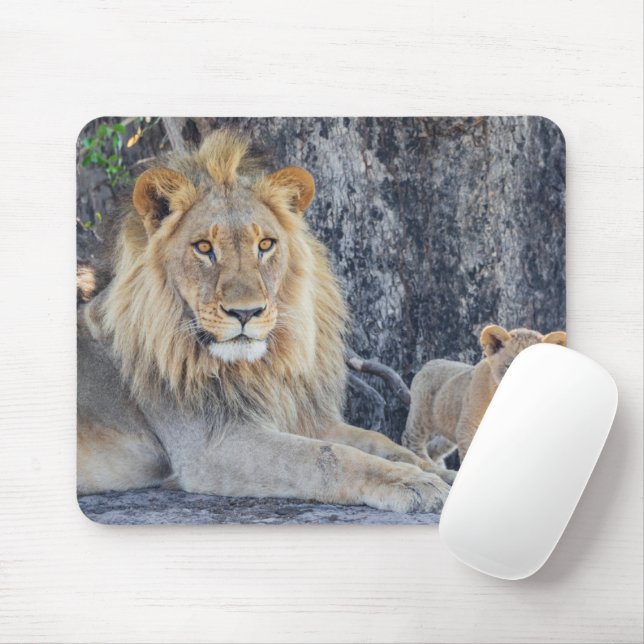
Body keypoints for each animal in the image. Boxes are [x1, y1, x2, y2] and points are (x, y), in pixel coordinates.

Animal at [77, 129, 453, 516]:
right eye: (203, 247)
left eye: (266, 244)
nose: (246, 313)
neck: (259, 369)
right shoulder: (212, 446)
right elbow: (326, 457)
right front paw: (410, 481)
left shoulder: (302, 417)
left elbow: (378, 441)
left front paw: (437, 472)